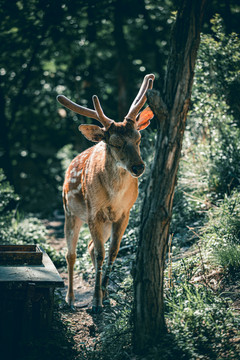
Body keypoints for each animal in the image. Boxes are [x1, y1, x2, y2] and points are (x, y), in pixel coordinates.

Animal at [57, 73, 155, 312]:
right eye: (115, 143)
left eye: (139, 138)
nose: (138, 167)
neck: (114, 197)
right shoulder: (94, 212)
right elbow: (101, 253)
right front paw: (95, 302)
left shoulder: (124, 213)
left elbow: (112, 252)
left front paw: (103, 294)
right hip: (70, 212)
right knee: (71, 254)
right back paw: (70, 299)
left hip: (104, 223)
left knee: (90, 247)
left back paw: (103, 292)